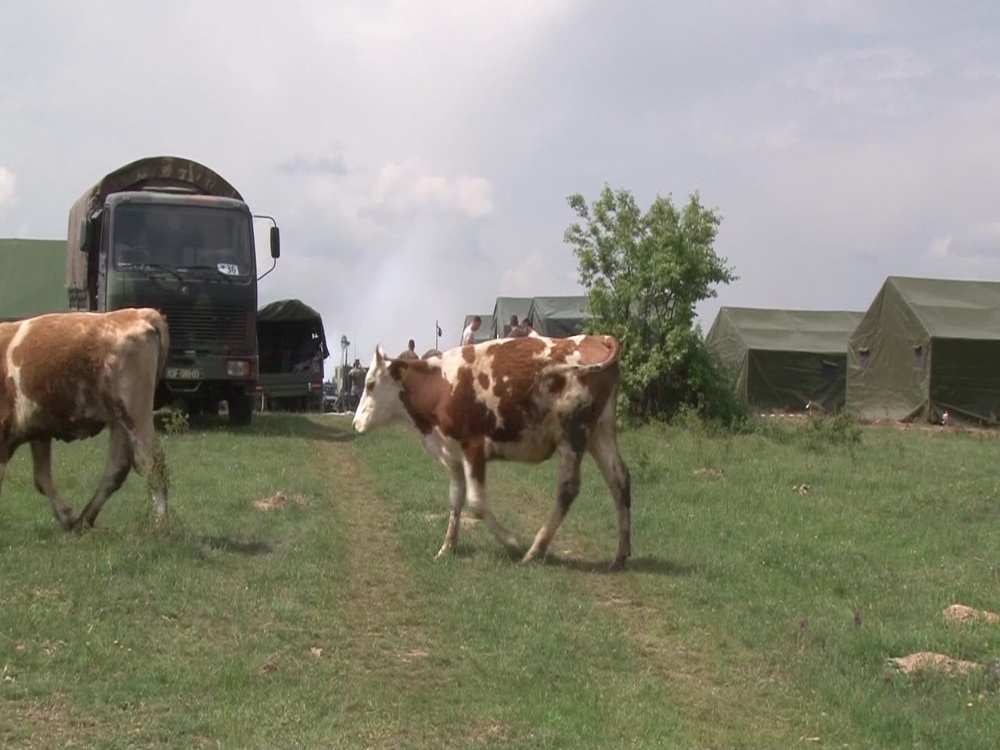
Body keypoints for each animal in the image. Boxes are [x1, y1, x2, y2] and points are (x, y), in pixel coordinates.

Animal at [0, 308, 170, 532]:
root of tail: (138, 313)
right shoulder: (38, 430)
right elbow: (42, 478)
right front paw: (66, 517)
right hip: (119, 420)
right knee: (116, 470)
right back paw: (84, 520)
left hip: (134, 414)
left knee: (153, 464)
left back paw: (161, 526)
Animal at [352, 334, 632, 568]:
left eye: (370, 384)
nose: (355, 424)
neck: (441, 385)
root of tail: (597, 338)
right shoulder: (453, 454)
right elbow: (455, 498)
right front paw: (447, 547)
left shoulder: (474, 447)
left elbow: (476, 502)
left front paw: (511, 542)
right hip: (600, 432)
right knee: (619, 479)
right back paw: (621, 554)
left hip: (572, 435)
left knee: (568, 490)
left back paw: (534, 550)